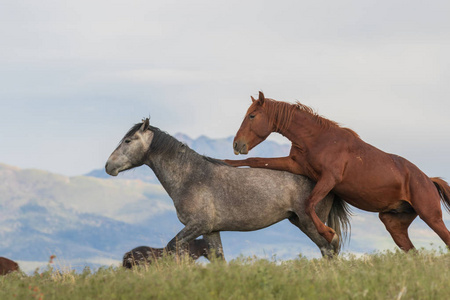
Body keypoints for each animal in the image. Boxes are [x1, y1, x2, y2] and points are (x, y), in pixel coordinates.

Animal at [105, 118, 352, 258]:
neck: (191, 177)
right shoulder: (211, 231)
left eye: (128, 141)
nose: (108, 166)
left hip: (311, 222)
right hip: (299, 221)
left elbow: (170, 248)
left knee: (329, 248)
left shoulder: (197, 225)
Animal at [227, 91, 450, 251]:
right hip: (394, 223)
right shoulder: (295, 165)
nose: (237, 144)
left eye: (252, 115)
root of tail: (428, 180)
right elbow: (256, 160)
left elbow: (309, 204)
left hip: (432, 218)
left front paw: (329, 233)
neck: (318, 139)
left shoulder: (329, 179)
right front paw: (226, 162)